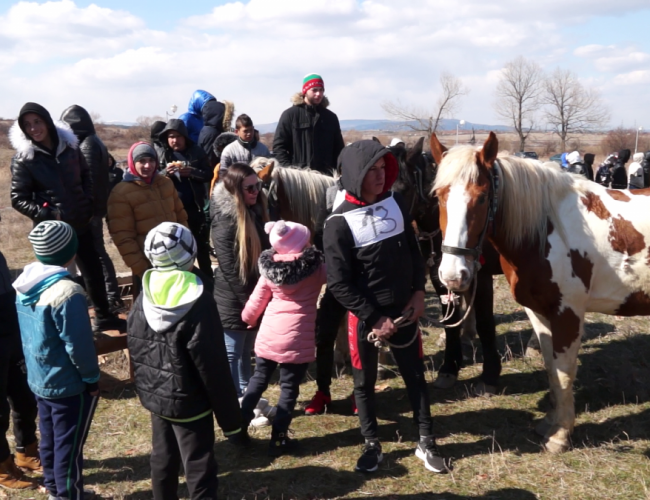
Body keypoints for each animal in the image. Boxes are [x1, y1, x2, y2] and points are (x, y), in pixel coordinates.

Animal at [430, 132, 650, 454]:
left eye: (482, 198)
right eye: (438, 196)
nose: (453, 275)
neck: (547, 229)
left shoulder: (568, 312)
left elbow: (564, 370)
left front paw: (560, 435)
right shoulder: (538, 312)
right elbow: (551, 369)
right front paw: (551, 423)